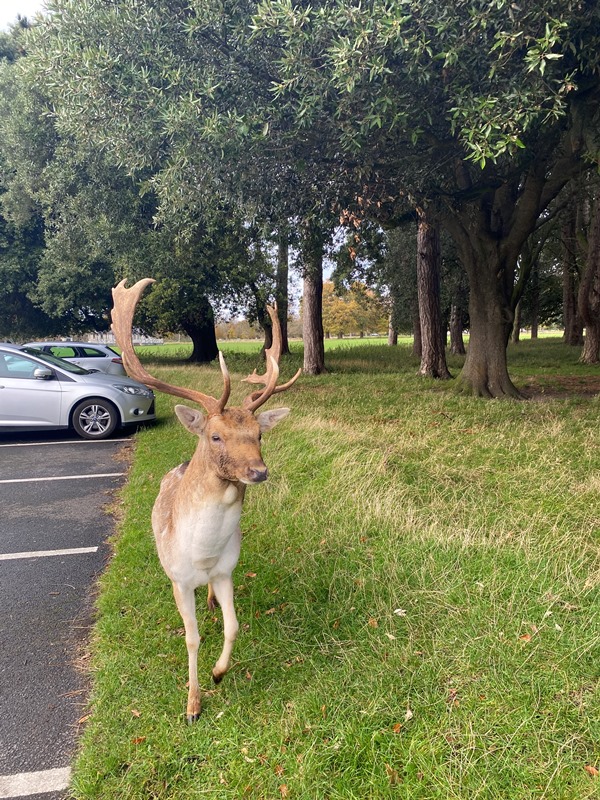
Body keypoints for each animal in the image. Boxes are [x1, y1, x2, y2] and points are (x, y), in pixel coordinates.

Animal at [111, 278, 300, 723]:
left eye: (259, 434)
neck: (202, 554)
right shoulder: (180, 581)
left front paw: (218, 674)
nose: (258, 471)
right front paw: (192, 705)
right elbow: (192, 638)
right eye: (215, 436)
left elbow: (233, 626)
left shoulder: (227, 570)